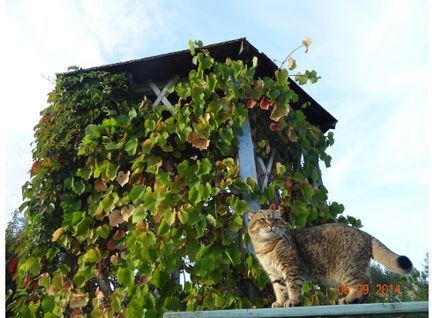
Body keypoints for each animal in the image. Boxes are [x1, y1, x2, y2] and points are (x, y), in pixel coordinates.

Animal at [248, 210, 414, 306]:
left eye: (276, 220)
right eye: (262, 220)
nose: (271, 225)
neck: (266, 248)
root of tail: (364, 233)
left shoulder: (292, 268)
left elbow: (293, 287)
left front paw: (293, 301)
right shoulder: (274, 274)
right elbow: (280, 289)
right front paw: (280, 301)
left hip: (347, 269)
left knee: (363, 282)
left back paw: (350, 299)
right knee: (367, 282)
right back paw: (356, 300)